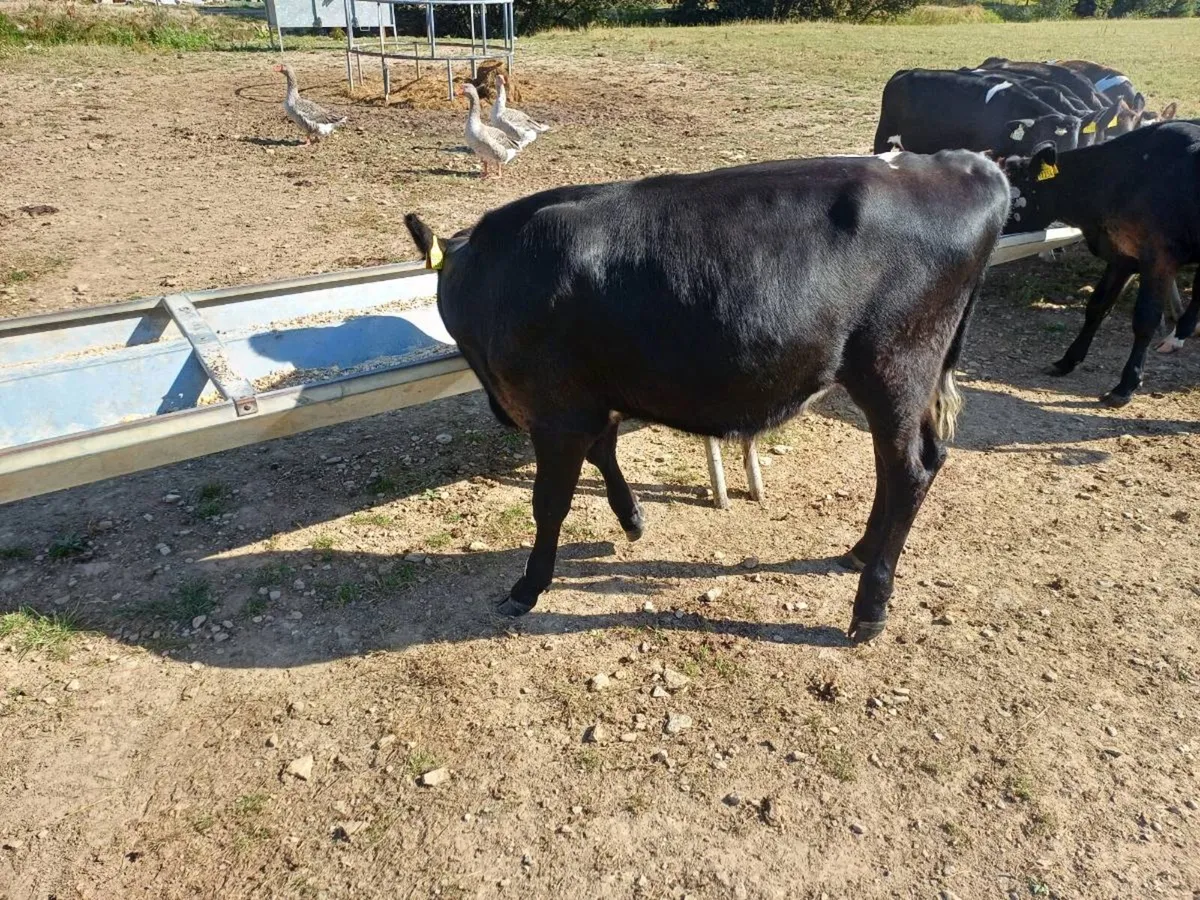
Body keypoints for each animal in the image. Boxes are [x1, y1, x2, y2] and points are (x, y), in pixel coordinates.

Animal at [404, 151, 1012, 643]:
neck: (494, 273)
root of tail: (968, 165)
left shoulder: (556, 412)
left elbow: (549, 503)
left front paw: (529, 586)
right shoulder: (592, 397)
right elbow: (605, 452)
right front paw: (632, 519)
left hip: (896, 368)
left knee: (909, 471)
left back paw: (870, 607)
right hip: (904, 383)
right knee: (902, 464)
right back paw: (858, 552)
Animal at [1002, 121, 1200, 406]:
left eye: (1014, 194)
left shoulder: (1159, 259)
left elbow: (1145, 320)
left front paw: (1126, 385)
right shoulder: (1122, 257)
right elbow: (1097, 307)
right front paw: (1067, 361)